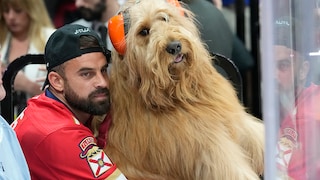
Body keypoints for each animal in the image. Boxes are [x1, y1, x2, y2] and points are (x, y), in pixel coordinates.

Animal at [105, 0, 264, 179]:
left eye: (165, 18)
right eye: (144, 31)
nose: (174, 46)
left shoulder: (235, 121)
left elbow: (257, 136)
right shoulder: (209, 147)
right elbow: (233, 169)